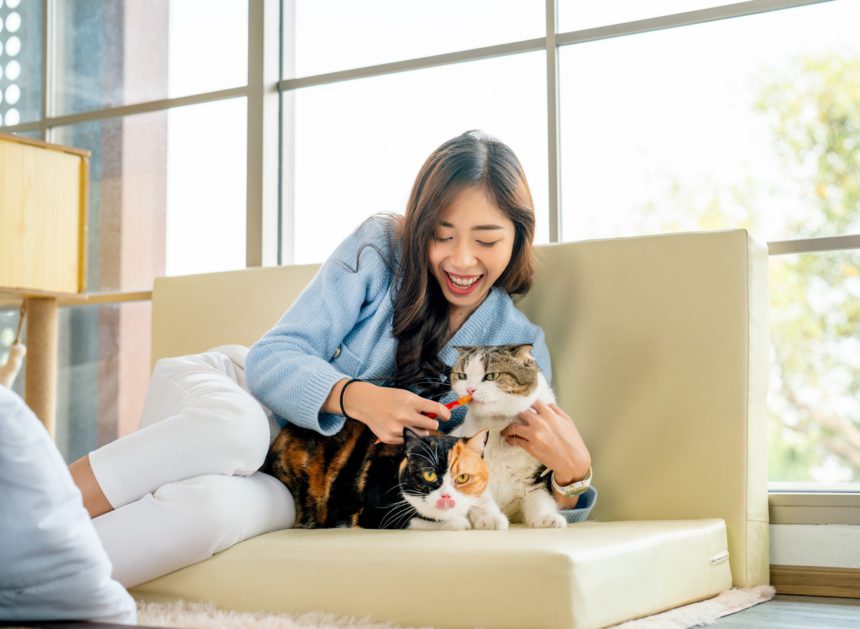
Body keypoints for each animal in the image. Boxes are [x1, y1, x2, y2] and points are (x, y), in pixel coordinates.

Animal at [262, 418, 490, 528]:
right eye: (429, 475)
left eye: (462, 477)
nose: (446, 497)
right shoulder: (375, 515)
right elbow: (422, 521)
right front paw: (459, 522)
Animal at [446, 344, 568, 528]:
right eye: (462, 376)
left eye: (491, 376)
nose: (469, 389)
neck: (498, 424)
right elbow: (482, 499)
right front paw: (490, 519)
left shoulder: (535, 473)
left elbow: (539, 498)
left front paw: (546, 518)